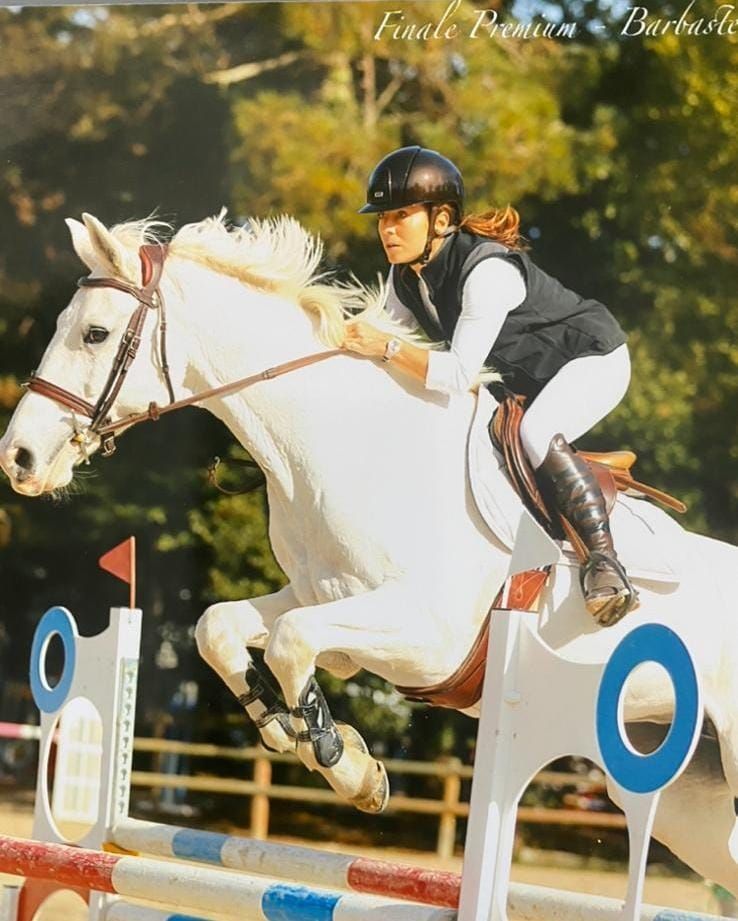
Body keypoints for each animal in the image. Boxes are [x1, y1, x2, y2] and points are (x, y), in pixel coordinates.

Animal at [1, 212, 737, 894]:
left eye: (95, 333)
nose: (19, 458)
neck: (346, 445)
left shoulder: (430, 637)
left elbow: (293, 642)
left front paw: (344, 761)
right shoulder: (321, 595)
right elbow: (220, 627)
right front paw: (287, 729)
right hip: (690, 800)